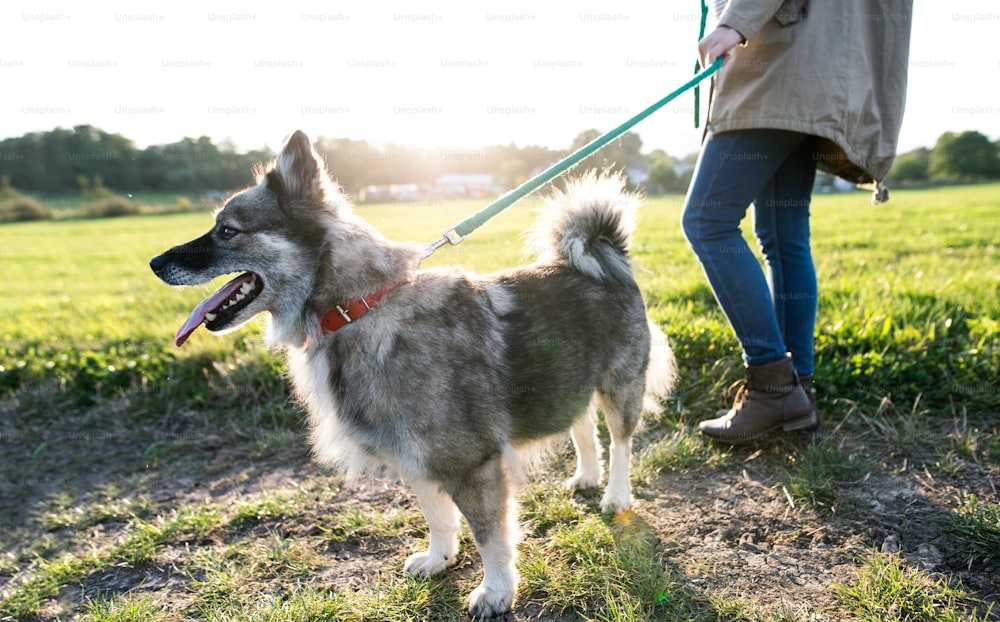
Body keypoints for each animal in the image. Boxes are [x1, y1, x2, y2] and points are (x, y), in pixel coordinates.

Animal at [148, 132, 676, 620]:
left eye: (227, 230)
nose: (154, 262)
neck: (356, 308)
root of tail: (604, 256)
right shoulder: (414, 456)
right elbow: (438, 516)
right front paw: (440, 559)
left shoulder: (471, 464)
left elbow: (490, 537)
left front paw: (496, 591)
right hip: (565, 383)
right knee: (582, 426)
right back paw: (586, 476)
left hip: (620, 386)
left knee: (621, 441)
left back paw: (614, 495)